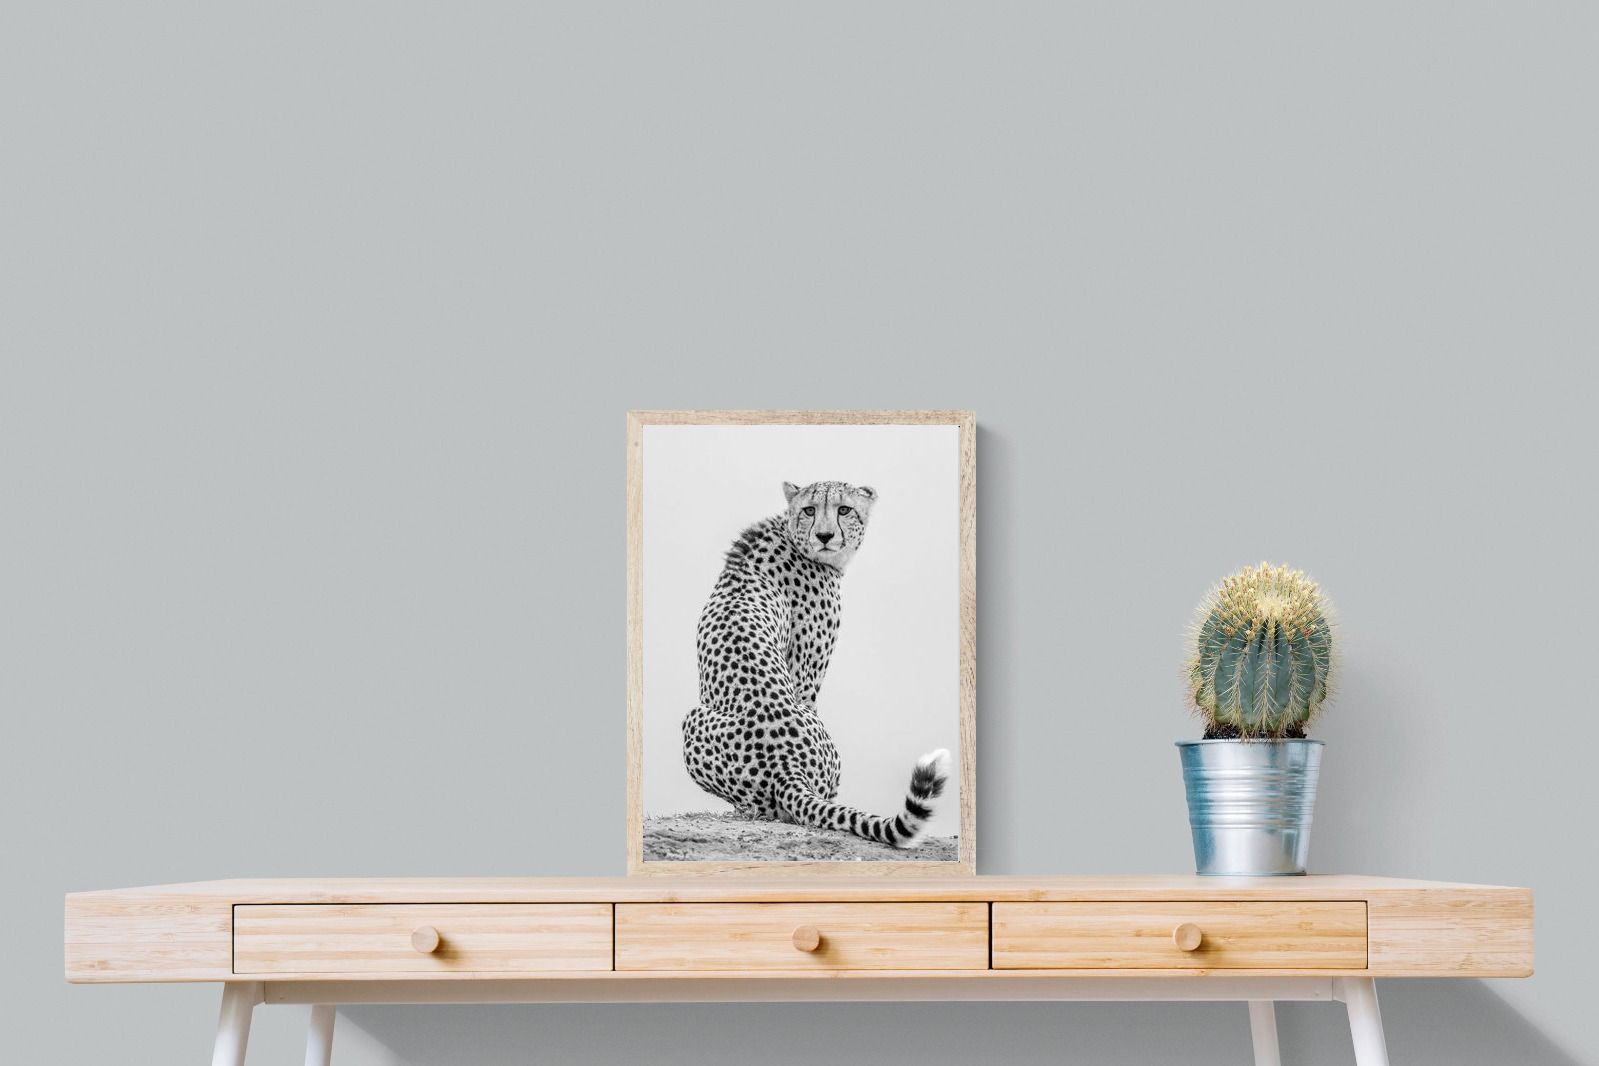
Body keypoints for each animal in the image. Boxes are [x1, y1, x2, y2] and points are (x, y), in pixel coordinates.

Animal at [681, 479, 951, 850]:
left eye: (844, 509)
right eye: (810, 509)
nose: (824, 535)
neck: (791, 534)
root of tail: (785, 766)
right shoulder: (805, 674)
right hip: (695, 720)